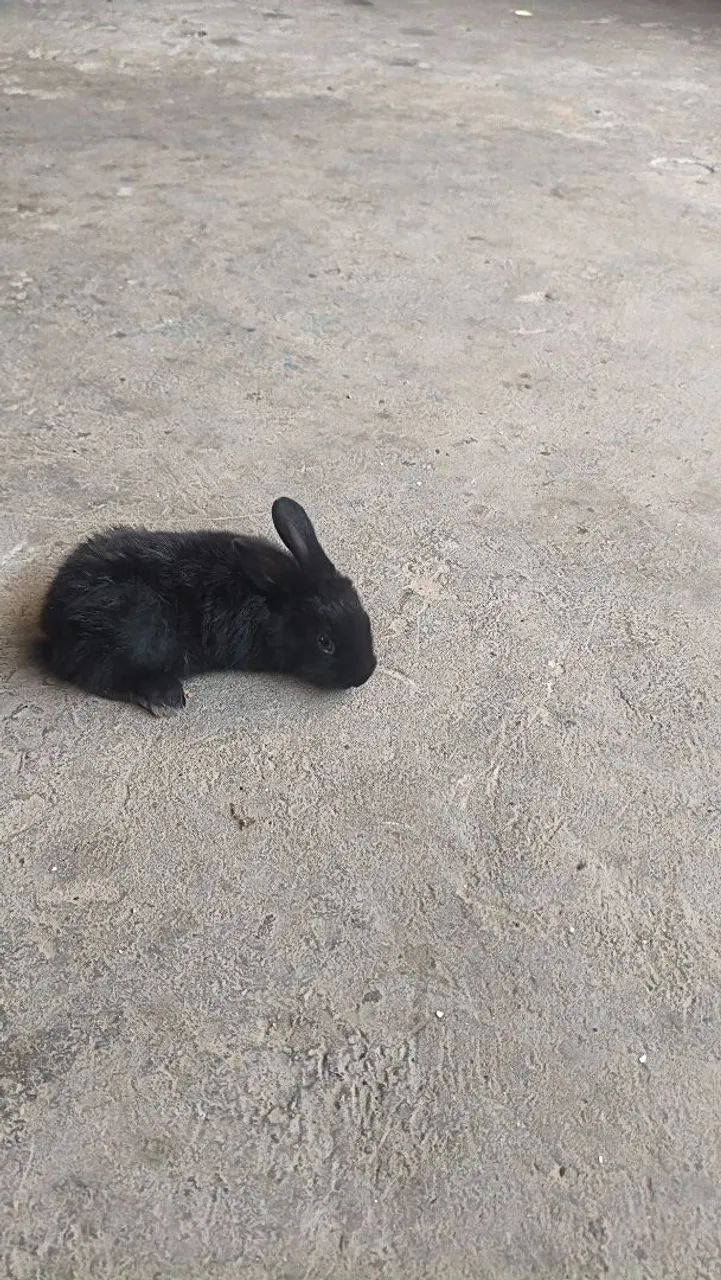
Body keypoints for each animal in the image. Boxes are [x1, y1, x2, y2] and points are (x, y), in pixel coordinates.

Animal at [39, 497, 377, 715]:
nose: (364, 673)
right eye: (324, 642)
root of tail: (53, 618)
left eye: (366, 619)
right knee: (100, 675)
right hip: (138, 626)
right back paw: (166, 698)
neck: (274, 602)